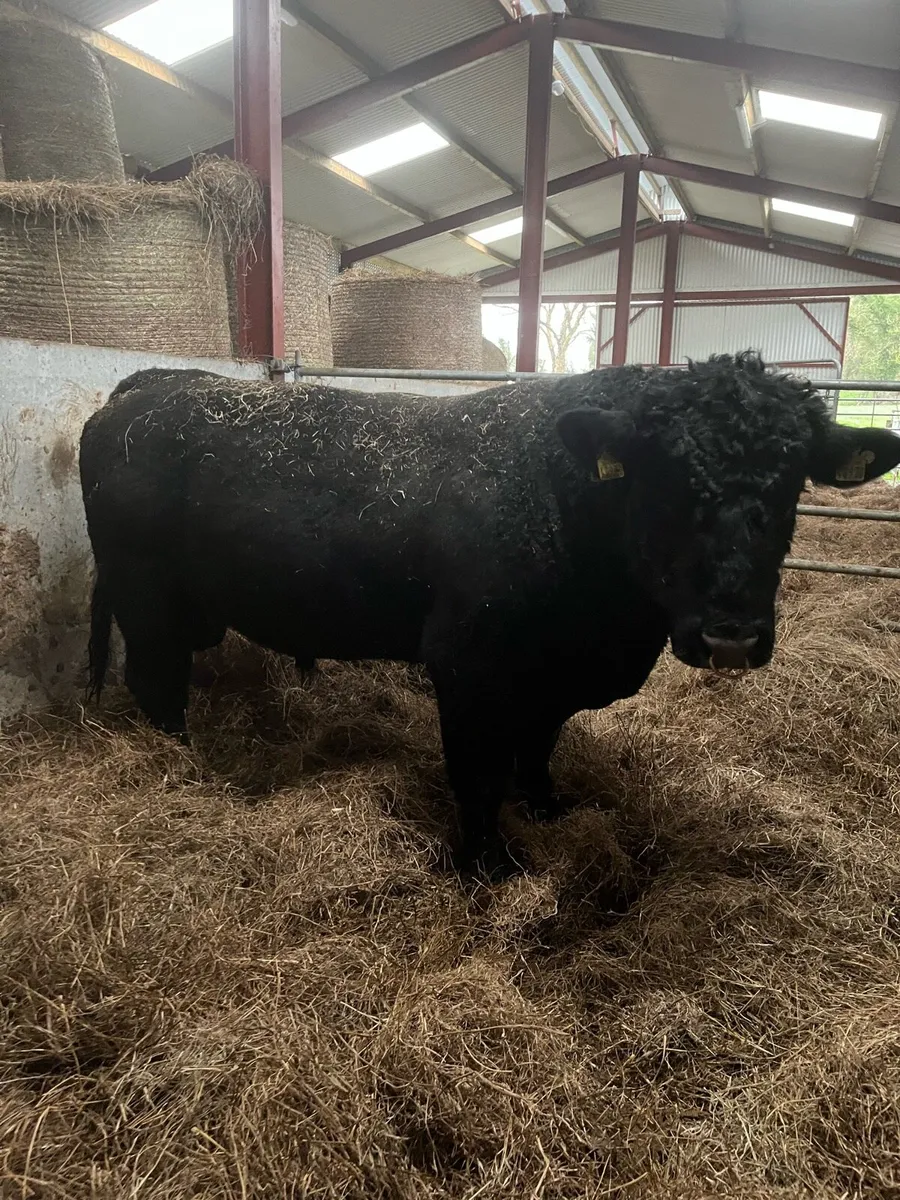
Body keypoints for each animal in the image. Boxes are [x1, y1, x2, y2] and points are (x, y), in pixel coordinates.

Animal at [79, 354, 900, 876]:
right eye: (662, 476)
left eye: (793, 481)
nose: (731, 633)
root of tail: (147, 388)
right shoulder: (468, 665)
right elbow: (477, 773)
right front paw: (488, 867)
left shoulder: (552, 678)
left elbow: (535, 750)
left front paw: (548, 811)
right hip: (147, 603)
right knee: (156, 688)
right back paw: (187, 772)